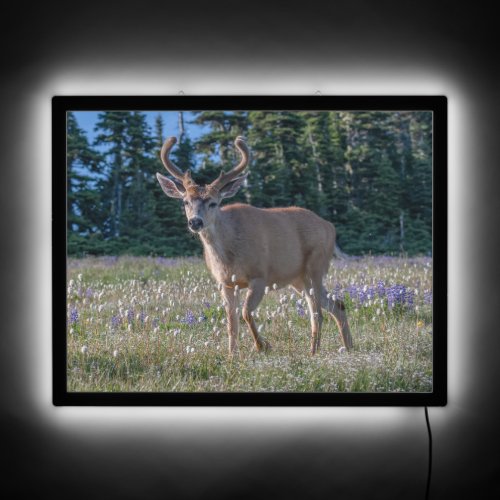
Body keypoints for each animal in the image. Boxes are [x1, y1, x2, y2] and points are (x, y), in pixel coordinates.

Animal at [154, 137, 354, 356]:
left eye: (213, 202)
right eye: (185, 202)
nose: (195, 222)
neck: (228, 255)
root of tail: (330, 227)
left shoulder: (260, 276)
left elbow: (245, 313)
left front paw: (262, 345)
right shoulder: (225, 283)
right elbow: (231, 323)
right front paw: (232, 355)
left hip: (315, 267)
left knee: (317, 313)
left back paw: (314, 352)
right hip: (298, 279)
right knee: (336, 305)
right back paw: (348, 346)